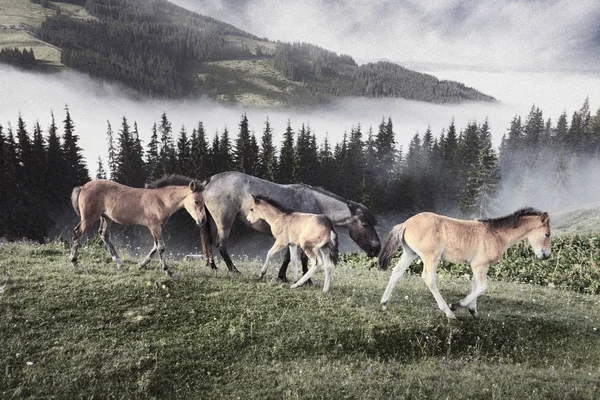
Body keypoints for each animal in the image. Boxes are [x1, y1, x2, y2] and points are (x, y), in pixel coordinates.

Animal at [69, 177, 206, 276]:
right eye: (196, 201)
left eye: (204, 202)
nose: (202, 221)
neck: (161, 200)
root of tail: (83, 187)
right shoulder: (154, 226)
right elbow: (160, 247)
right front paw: (167, 270)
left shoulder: (157, 227)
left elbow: (155, 247)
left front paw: (141, 265)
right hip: (88, 218)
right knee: (77, 232)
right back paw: (74, 262)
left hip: (106, 218)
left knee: (103, 234)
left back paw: (120, 264)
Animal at [190, 171, 382, 278]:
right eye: (364, 224)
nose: (377, 248)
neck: (316, 204)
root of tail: (209, 181)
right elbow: (299, 258)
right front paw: (304, 278)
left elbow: (291, 257)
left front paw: (284, 276)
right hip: (224, 220)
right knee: (220, 244)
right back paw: (233, 270)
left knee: (208, 242)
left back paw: (212, 266)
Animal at [378, 209, 552, 318]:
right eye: (547, 234)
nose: (546, 255)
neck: (496, 234)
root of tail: (406, 223)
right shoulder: (479, 265)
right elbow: (482, 287)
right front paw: (457, 305)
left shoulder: (478, 266)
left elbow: (475, 285)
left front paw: (474, 311)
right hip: (431, 256)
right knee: (429, 278)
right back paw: (449, 312)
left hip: (410, 253)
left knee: (397, 272)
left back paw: (384, 303)